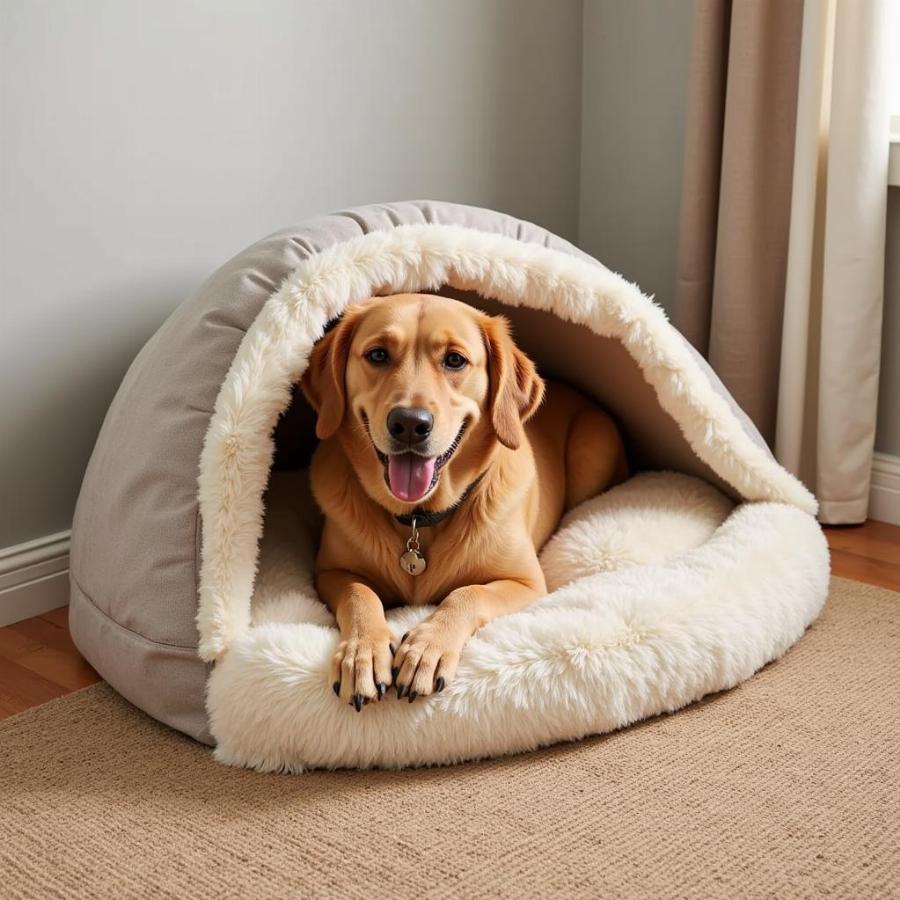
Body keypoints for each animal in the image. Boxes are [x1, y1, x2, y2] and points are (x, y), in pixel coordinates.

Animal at [302, 296, 624, 712]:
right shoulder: (330, 572)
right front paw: (363, 653)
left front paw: (427, 648)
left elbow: (467, 593)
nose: (409, 423)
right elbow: (360, 594)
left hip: (594, 442)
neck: (419, 520)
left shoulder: (526, 583)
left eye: (455, 360)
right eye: (377, 354)